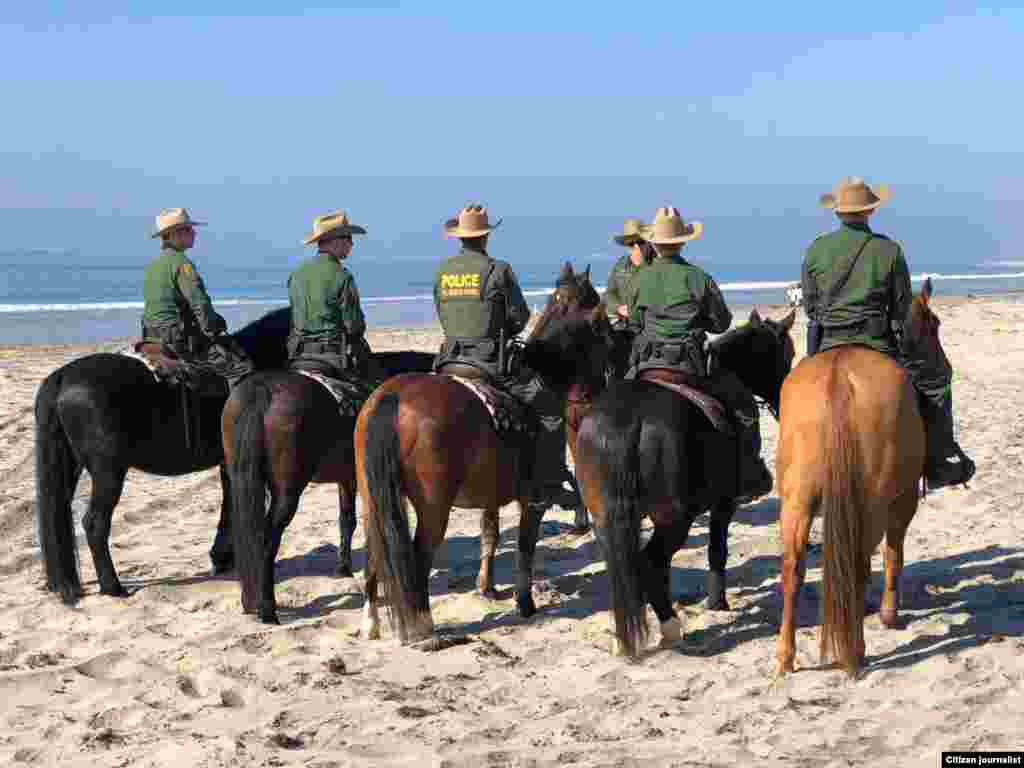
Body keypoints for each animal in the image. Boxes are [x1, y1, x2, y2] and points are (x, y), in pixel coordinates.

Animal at [35, 309, 292, 606]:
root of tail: (64, 376)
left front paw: (222, 558)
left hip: (72, 465)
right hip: (108, 471)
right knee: (94, 523)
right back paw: (113, 587)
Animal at [222, 350, 434, 626]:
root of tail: (262, 390)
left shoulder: (346, 480)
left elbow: (346, 520)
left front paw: (343, 567)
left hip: (240, 479)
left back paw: (250, 602)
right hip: (287, 493)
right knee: (266, 543)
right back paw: (267, 609)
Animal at [356, 264, 610, 643]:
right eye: (603, 326)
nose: (597, 391)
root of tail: (393, 397)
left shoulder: (491, 494)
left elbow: (489, 535)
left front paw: (486, 587)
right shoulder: (533, 499)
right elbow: (524, 547)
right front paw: (524, 603)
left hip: (375, 497)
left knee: (378, 547)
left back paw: (371, 621)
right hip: (433, 507)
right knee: (417, 556)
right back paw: (423, 626)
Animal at [573, 309, 794, 659]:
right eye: (787, 355)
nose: (783, 399)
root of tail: (626, 419)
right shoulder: (725, 503)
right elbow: (717, 550)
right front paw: (718, 602)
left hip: (605, 518)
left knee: (623, 566)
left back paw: (626, 633)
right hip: (675, 518)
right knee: (651, 562)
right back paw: (670, 628)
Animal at [774, 282, 942, 679]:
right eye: (934, 326)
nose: (942, 370)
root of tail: (839, 378)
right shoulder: (903, 502)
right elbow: (894, 554)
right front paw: (889, 614)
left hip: (797, 502)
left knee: (793, 567)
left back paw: (786, 656)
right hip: (872, 504)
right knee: (859, 564)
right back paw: (856, 652)